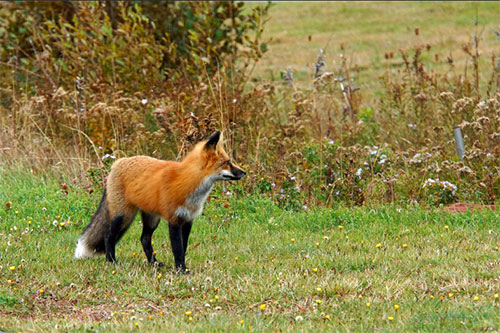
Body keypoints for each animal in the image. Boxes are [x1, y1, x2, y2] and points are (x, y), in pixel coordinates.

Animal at [74, 131, 244, 272]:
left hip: (151, 218)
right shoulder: (174, 220)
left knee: (144, 239)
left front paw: (181, 268)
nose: (244, 172)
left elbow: (184, 247)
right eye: (227, 162)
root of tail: (118, 163)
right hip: (123, 215)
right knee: (108, 236)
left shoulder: (188, 219)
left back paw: (153, 263)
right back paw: (111, 261)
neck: (188, 183)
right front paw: (181, 271)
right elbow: (178, 249)